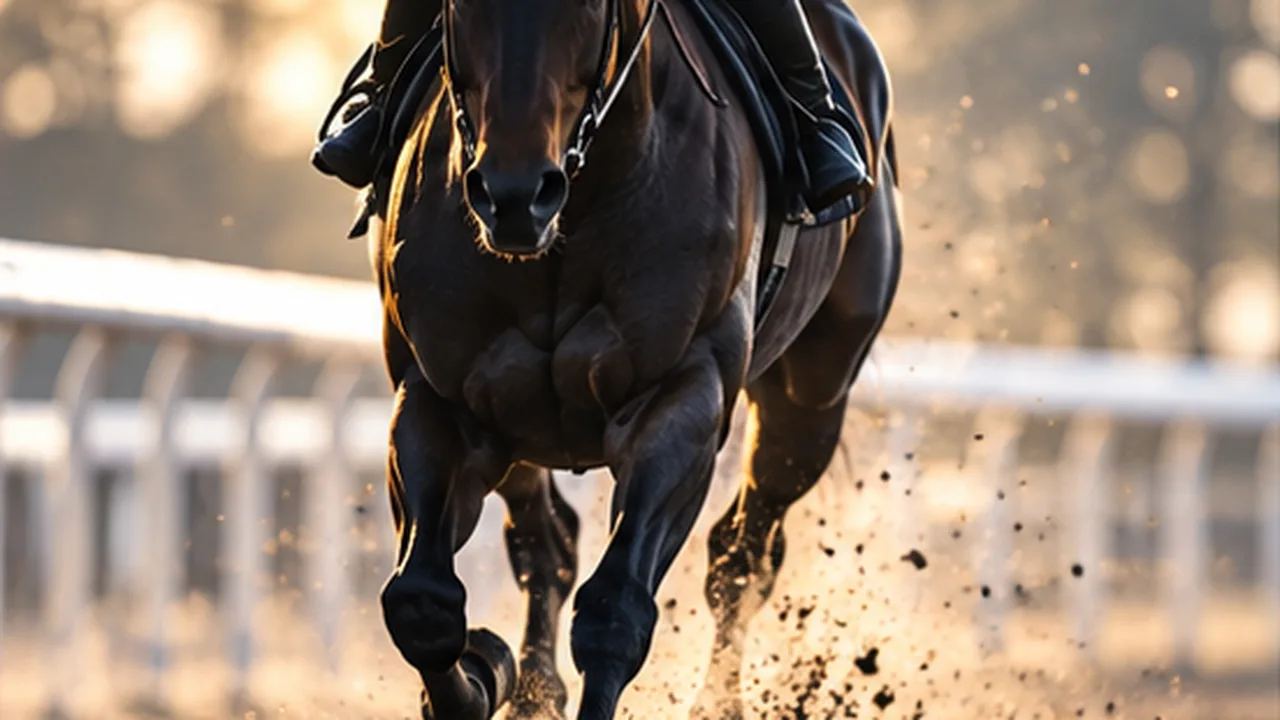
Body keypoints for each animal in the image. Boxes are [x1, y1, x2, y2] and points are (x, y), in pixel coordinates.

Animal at [366, 0, 900, 717]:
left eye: (589, 6)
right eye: (461, 7)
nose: (513, 195)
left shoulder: (681, 397)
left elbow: (615, 612)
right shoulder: (442, 397)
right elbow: (421, 602)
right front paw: (484, 672)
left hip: (811, 398)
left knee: (741, 557)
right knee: (548, 543)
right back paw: (532, 689)